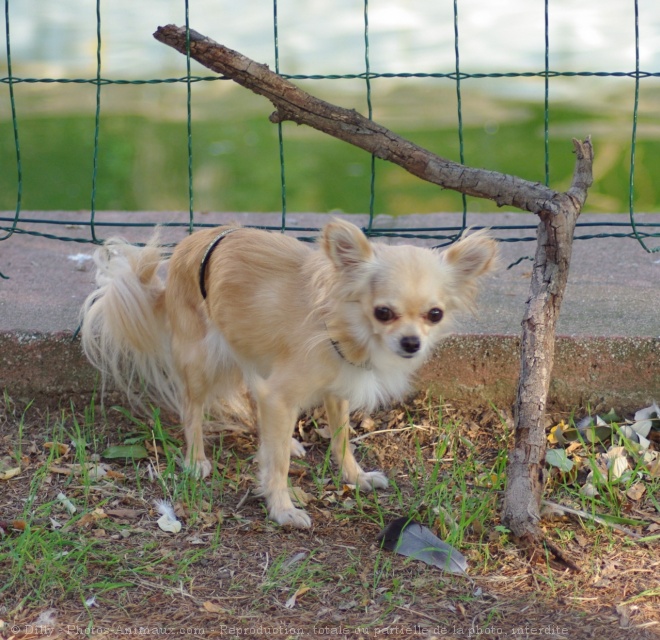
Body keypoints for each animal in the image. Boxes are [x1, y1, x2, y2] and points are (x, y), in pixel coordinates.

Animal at [81, 220, 496, 528]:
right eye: (383, 313)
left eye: (435, 314)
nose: (411, 343)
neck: (346, 326)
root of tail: (187, 246)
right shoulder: (281, 394)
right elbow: (277, 463)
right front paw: (282, 509)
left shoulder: (335, 391)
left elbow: (342, 440)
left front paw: (355, 477)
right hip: (200, 362)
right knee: (191, 410)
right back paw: (196, 459)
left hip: (253, 349)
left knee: (252, 394)